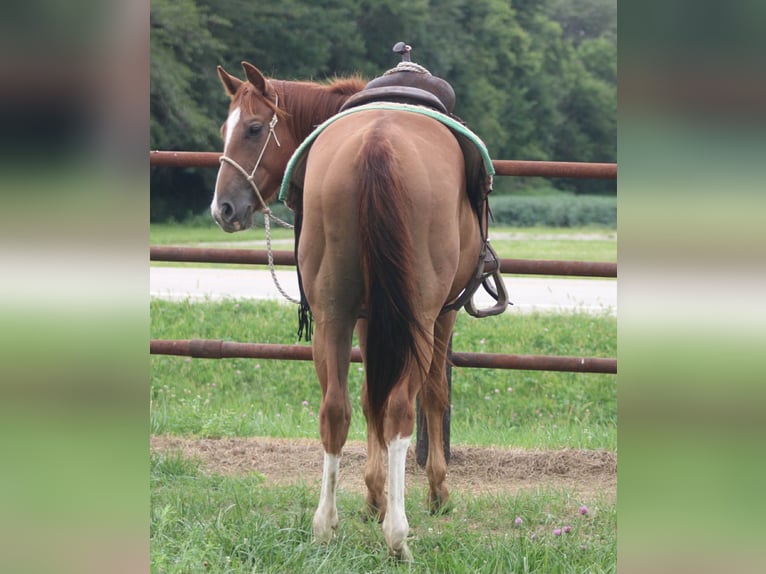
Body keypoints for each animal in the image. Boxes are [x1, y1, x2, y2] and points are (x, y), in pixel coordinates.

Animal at [211, 61, 492, 561]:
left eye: (253, 128)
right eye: (227, 129)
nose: (222, 208)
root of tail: (377, 141)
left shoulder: (365, 318)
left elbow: (365, 398)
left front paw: (373, 495)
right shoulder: (441, 315)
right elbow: (433, 394)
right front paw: (436, 491)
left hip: (332, 316)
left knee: (334, 411)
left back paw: (326, 524)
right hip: (418, 317)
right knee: (400, 408)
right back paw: (398, 535)